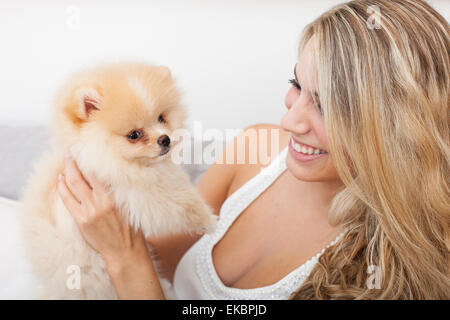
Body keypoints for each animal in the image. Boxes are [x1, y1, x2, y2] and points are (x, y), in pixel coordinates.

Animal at [20, 63, 217, 300]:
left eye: (161, 118)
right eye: (134, 135)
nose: (165, 139)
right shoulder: (133, 192)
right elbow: (179, 202)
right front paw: (208, 220)